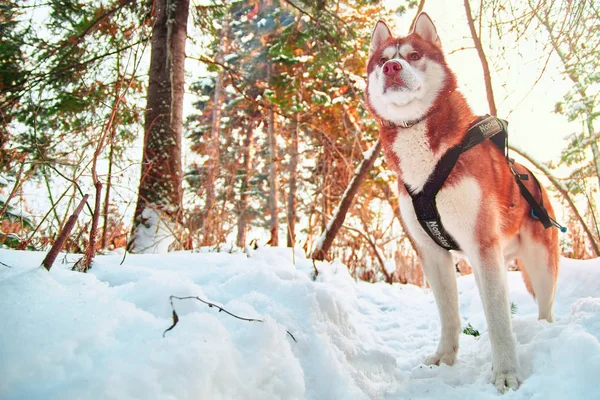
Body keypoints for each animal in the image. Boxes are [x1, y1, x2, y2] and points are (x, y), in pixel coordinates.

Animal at [364, 13, 560, 394]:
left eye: (413, 56)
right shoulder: (431, 252)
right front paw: (445, 357)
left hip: (538, 263)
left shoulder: (481, 243)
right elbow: (449, 314)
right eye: (381, 61)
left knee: (543, 306)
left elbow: (498, 321)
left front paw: (506, 374)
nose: (392, 68)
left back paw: (545, 332)